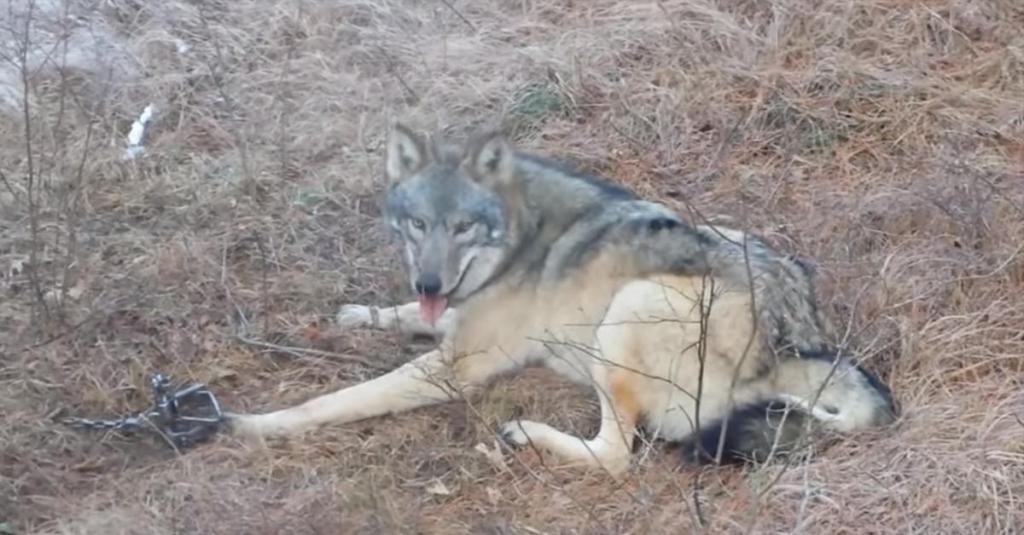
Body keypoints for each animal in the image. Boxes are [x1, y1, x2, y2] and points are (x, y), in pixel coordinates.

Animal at [226, 121, 897, 475]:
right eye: (418, 225)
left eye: (462, 228)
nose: (430, 282)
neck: (518, 240)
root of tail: (797, 345)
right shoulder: (449, 320)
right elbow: (402, 317)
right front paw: (356, 316)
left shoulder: (454, 368)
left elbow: (336, 400)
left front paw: (250, 425)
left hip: (627, 310)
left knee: (616, 455)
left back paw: (527, 434)